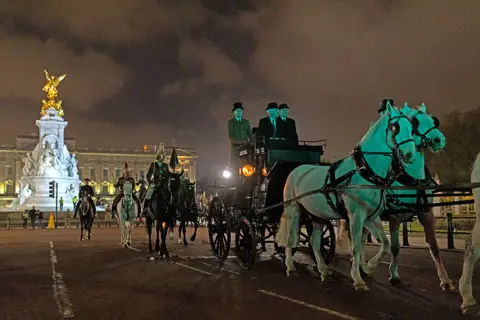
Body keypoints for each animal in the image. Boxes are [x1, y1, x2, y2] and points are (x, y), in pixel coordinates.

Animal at [276, 102, 418, 290]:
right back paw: (290, 267)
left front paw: (368, 266)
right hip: (293, 211)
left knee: (314, 242)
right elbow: (356, 247)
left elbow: (385, 245)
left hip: (317, 216)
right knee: (291, 239)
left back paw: (323, 270)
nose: (410, 155)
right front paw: (358, 279)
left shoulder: (371, 218)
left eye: (412, 127)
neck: (363, 173)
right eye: (395, 127)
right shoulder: (356, 215)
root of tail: (296, 170)